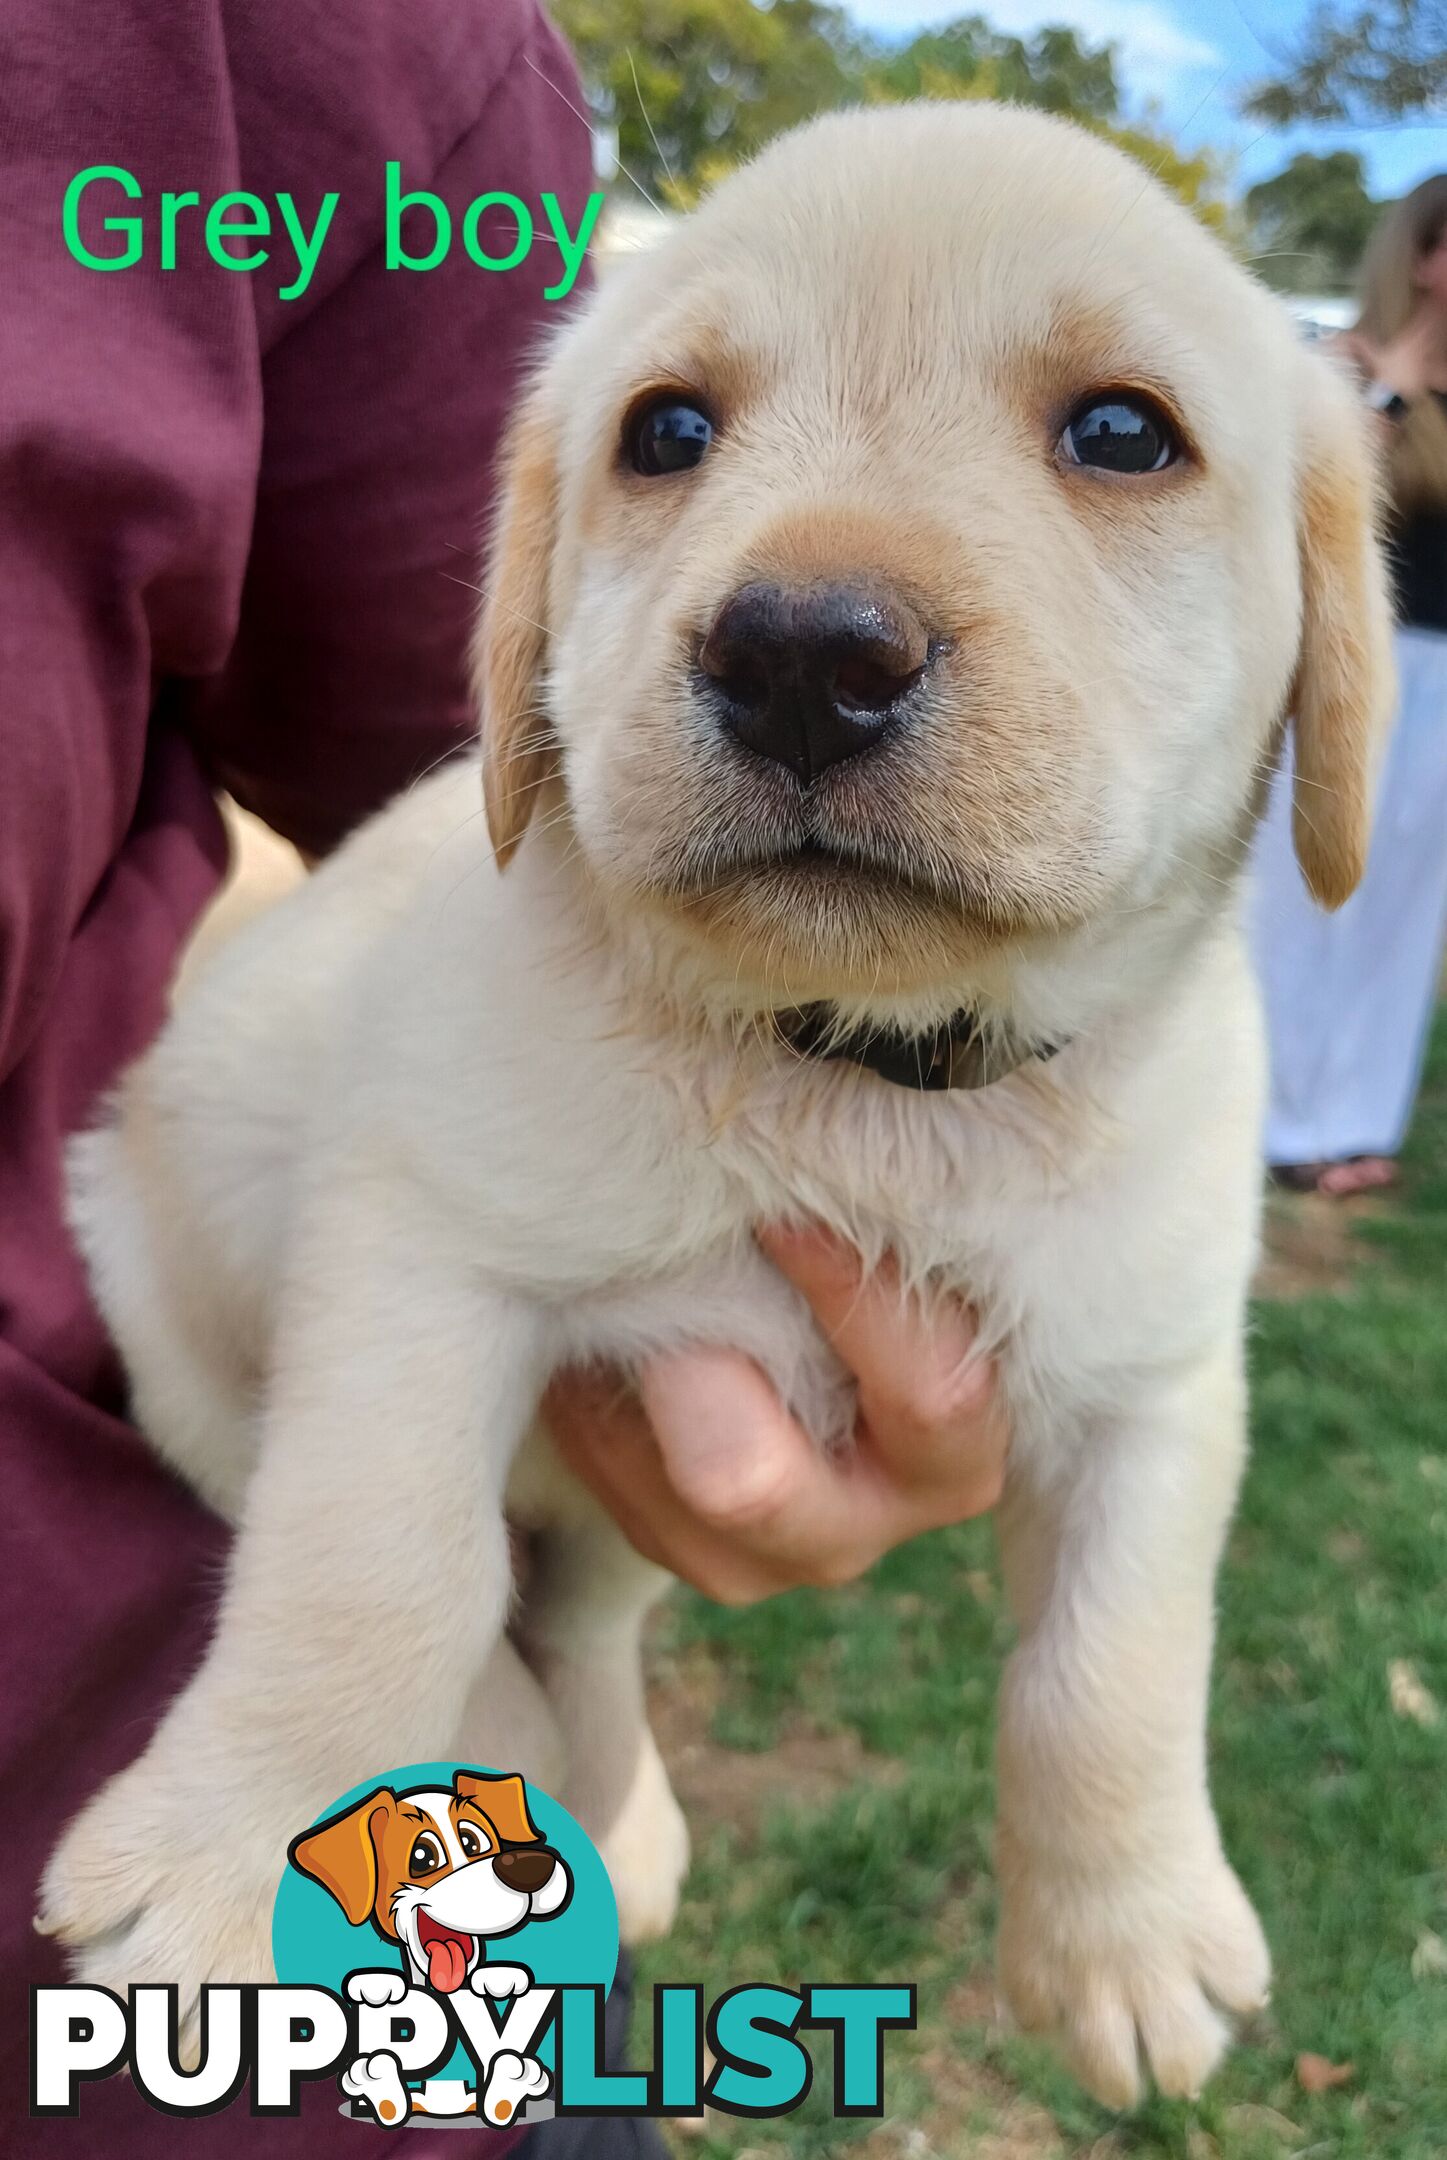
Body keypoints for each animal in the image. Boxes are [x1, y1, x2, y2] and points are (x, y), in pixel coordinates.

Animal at [45, 101, 1390, 2108]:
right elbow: (371, 1571)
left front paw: (1128, 1938)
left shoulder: (1154, 1374)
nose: (802, 656)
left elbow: (1113, 1668)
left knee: (583, 1620)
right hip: (164, 1287)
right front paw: (230, 1852)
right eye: (667, 434)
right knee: (434, 1580)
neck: (856, 1071)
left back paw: (609, 1811)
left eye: (1120, 432)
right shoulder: (417, 1266)